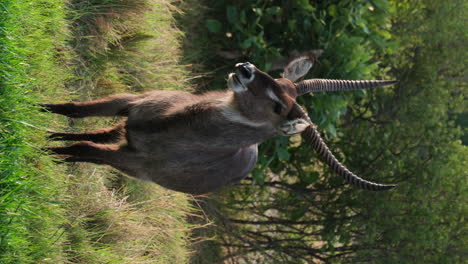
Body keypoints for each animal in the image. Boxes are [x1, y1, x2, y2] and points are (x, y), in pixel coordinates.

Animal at [44, 57, 396, 194]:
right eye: (280, 80)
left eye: (279, 106)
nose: (245, 69)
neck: (172, 125)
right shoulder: (132, 102)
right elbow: (77, 109)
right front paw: (40, 108)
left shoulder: (131, 159)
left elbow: (82, 148)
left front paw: (43, 155)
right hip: (125, 129)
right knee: (95, 131)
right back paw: (52, 131)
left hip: (124, 149)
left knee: (92, 145)